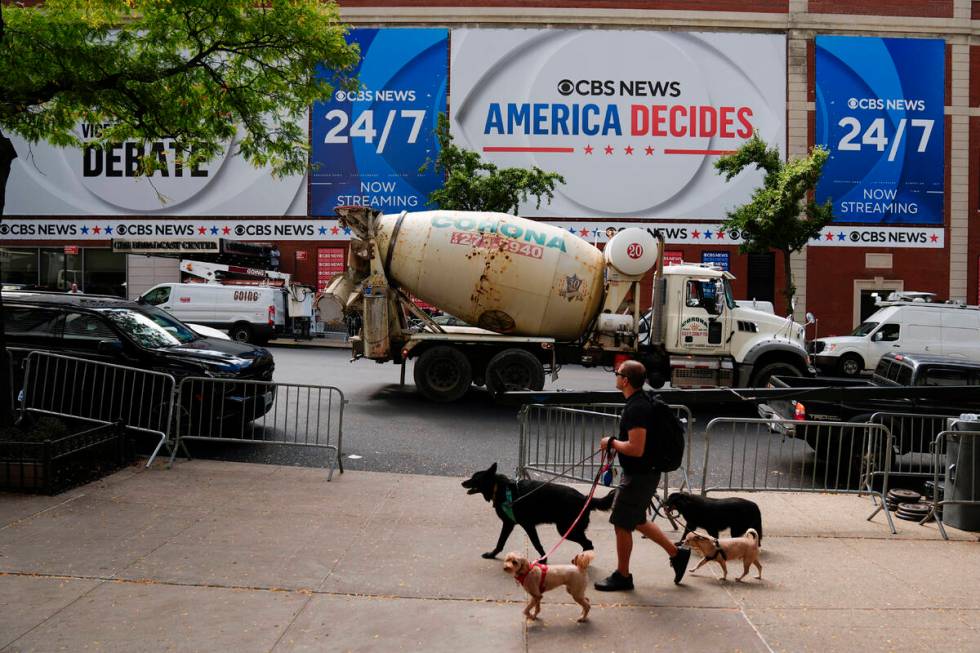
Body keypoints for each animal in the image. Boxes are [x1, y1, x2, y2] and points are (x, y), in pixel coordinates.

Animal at [462, 458, 612, 560]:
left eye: (474, 478)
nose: (462, 483)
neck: (500, 488)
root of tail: (584, 498)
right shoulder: (509, 524)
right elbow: (500, 542)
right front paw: (492, 554)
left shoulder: (528, 525)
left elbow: (536, 543)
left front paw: (543, 560)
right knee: (587, 544)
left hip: (566, 529)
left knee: (588, 543)